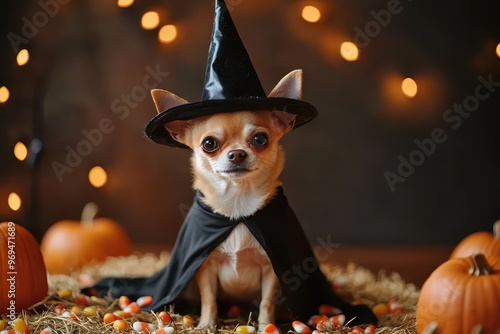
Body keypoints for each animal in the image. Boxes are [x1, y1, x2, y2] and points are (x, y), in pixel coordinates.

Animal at [150, 69, 302, 328]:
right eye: (209, 143)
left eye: (260, 139)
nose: (237, 153)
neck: (237, 205)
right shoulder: (205, 268)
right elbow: (209, 299)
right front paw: (206, 325)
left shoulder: (271, 269)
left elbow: (266, 302)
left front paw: (265, 327)